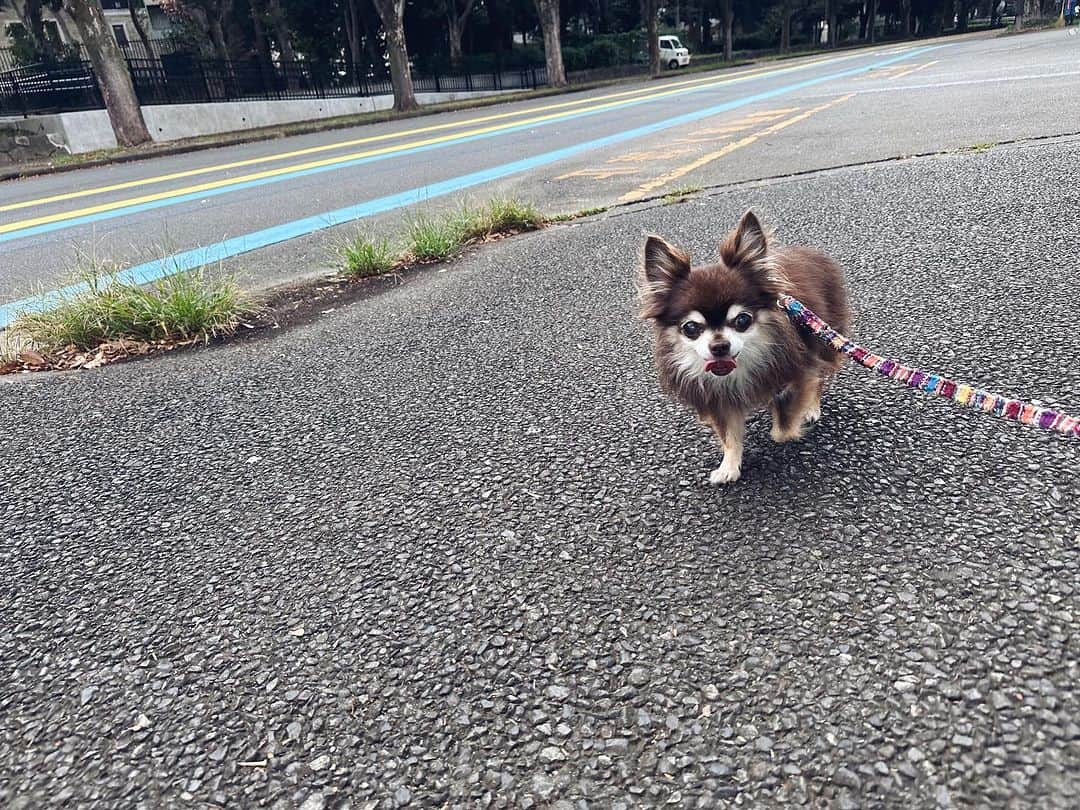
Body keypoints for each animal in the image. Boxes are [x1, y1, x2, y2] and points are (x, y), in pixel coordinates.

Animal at [635, 212, 846, 486]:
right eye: (691, 327)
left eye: (742, 320)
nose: (719, 346)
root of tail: (808, 251)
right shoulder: (718, 399)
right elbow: (729, 436)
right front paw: (729, 466)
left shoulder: (801, 369)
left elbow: (783, 424)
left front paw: (790, 426)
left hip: (824, 339)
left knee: (820, 377)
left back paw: (811, 408)